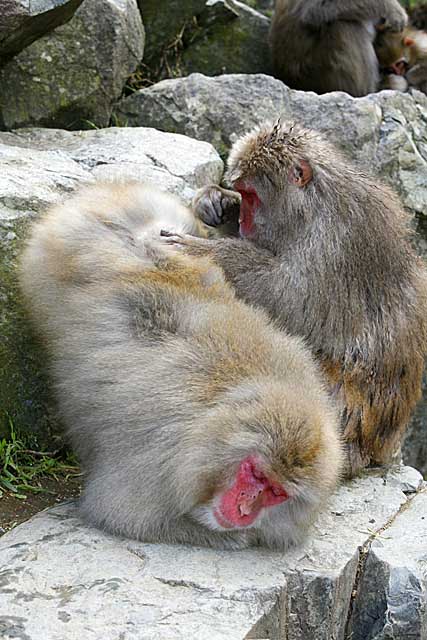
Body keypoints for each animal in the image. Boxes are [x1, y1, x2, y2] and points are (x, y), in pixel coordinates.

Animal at [19, 181, 344, 552]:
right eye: (255, 474)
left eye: (277, 493)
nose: (244, 511)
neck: (221, 414)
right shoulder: (160, 462)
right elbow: (122, 513)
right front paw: (239, 538)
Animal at [167, 122, 427, 478]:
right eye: (243, 194)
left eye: (253, 196)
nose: (244, 221)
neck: (310, 207)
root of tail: (375, 452)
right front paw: (216, 201)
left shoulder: (334, 243)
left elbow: (290, 299)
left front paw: (209, 252)